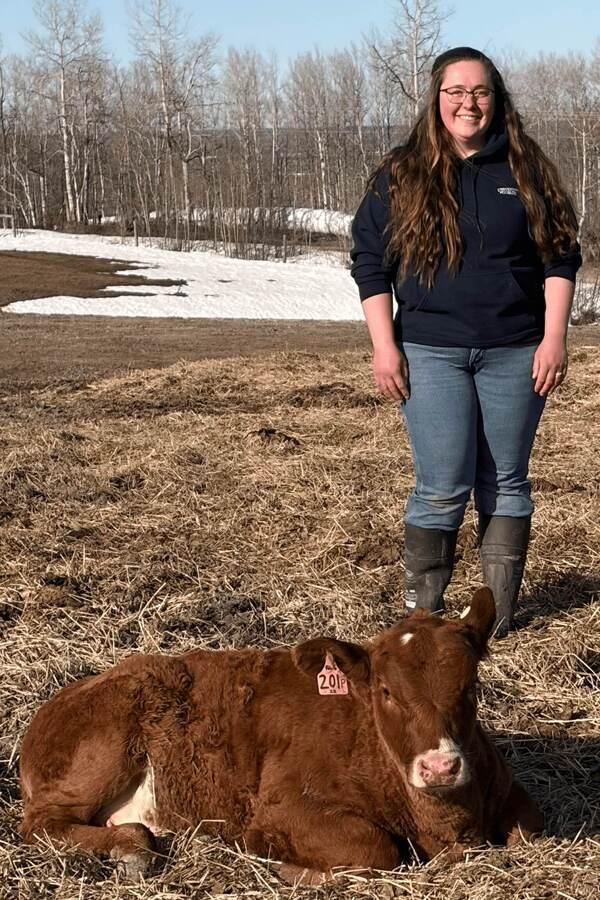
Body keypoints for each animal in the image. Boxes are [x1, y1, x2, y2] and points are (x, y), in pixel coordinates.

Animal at [19, 587, 543, 884]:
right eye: (386, 691)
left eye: (470, 685)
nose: (439, 767)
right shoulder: (282, 808)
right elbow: (375, 849)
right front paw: (291, 868)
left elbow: (528, 830)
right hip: (102, 752)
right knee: (41, 825)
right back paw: (131, 849)